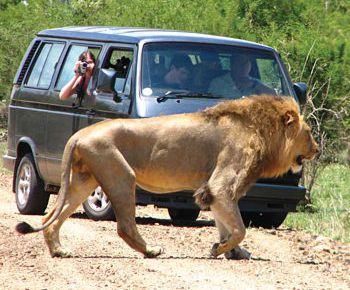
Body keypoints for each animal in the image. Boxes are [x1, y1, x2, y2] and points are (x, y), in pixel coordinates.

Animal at [16, 94, 318, 258]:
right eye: (309, 133)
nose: (316, 149)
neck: (262, 131)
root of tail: (78, 135)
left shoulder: (213, 191)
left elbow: (225, 224)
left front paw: (232, 251)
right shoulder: (222, 184)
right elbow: (240, 229)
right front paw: (219, 249)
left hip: (83, 180)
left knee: (50, 217)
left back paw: (58, 250)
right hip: (121, 174)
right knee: (125, 226)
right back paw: (151, 251)